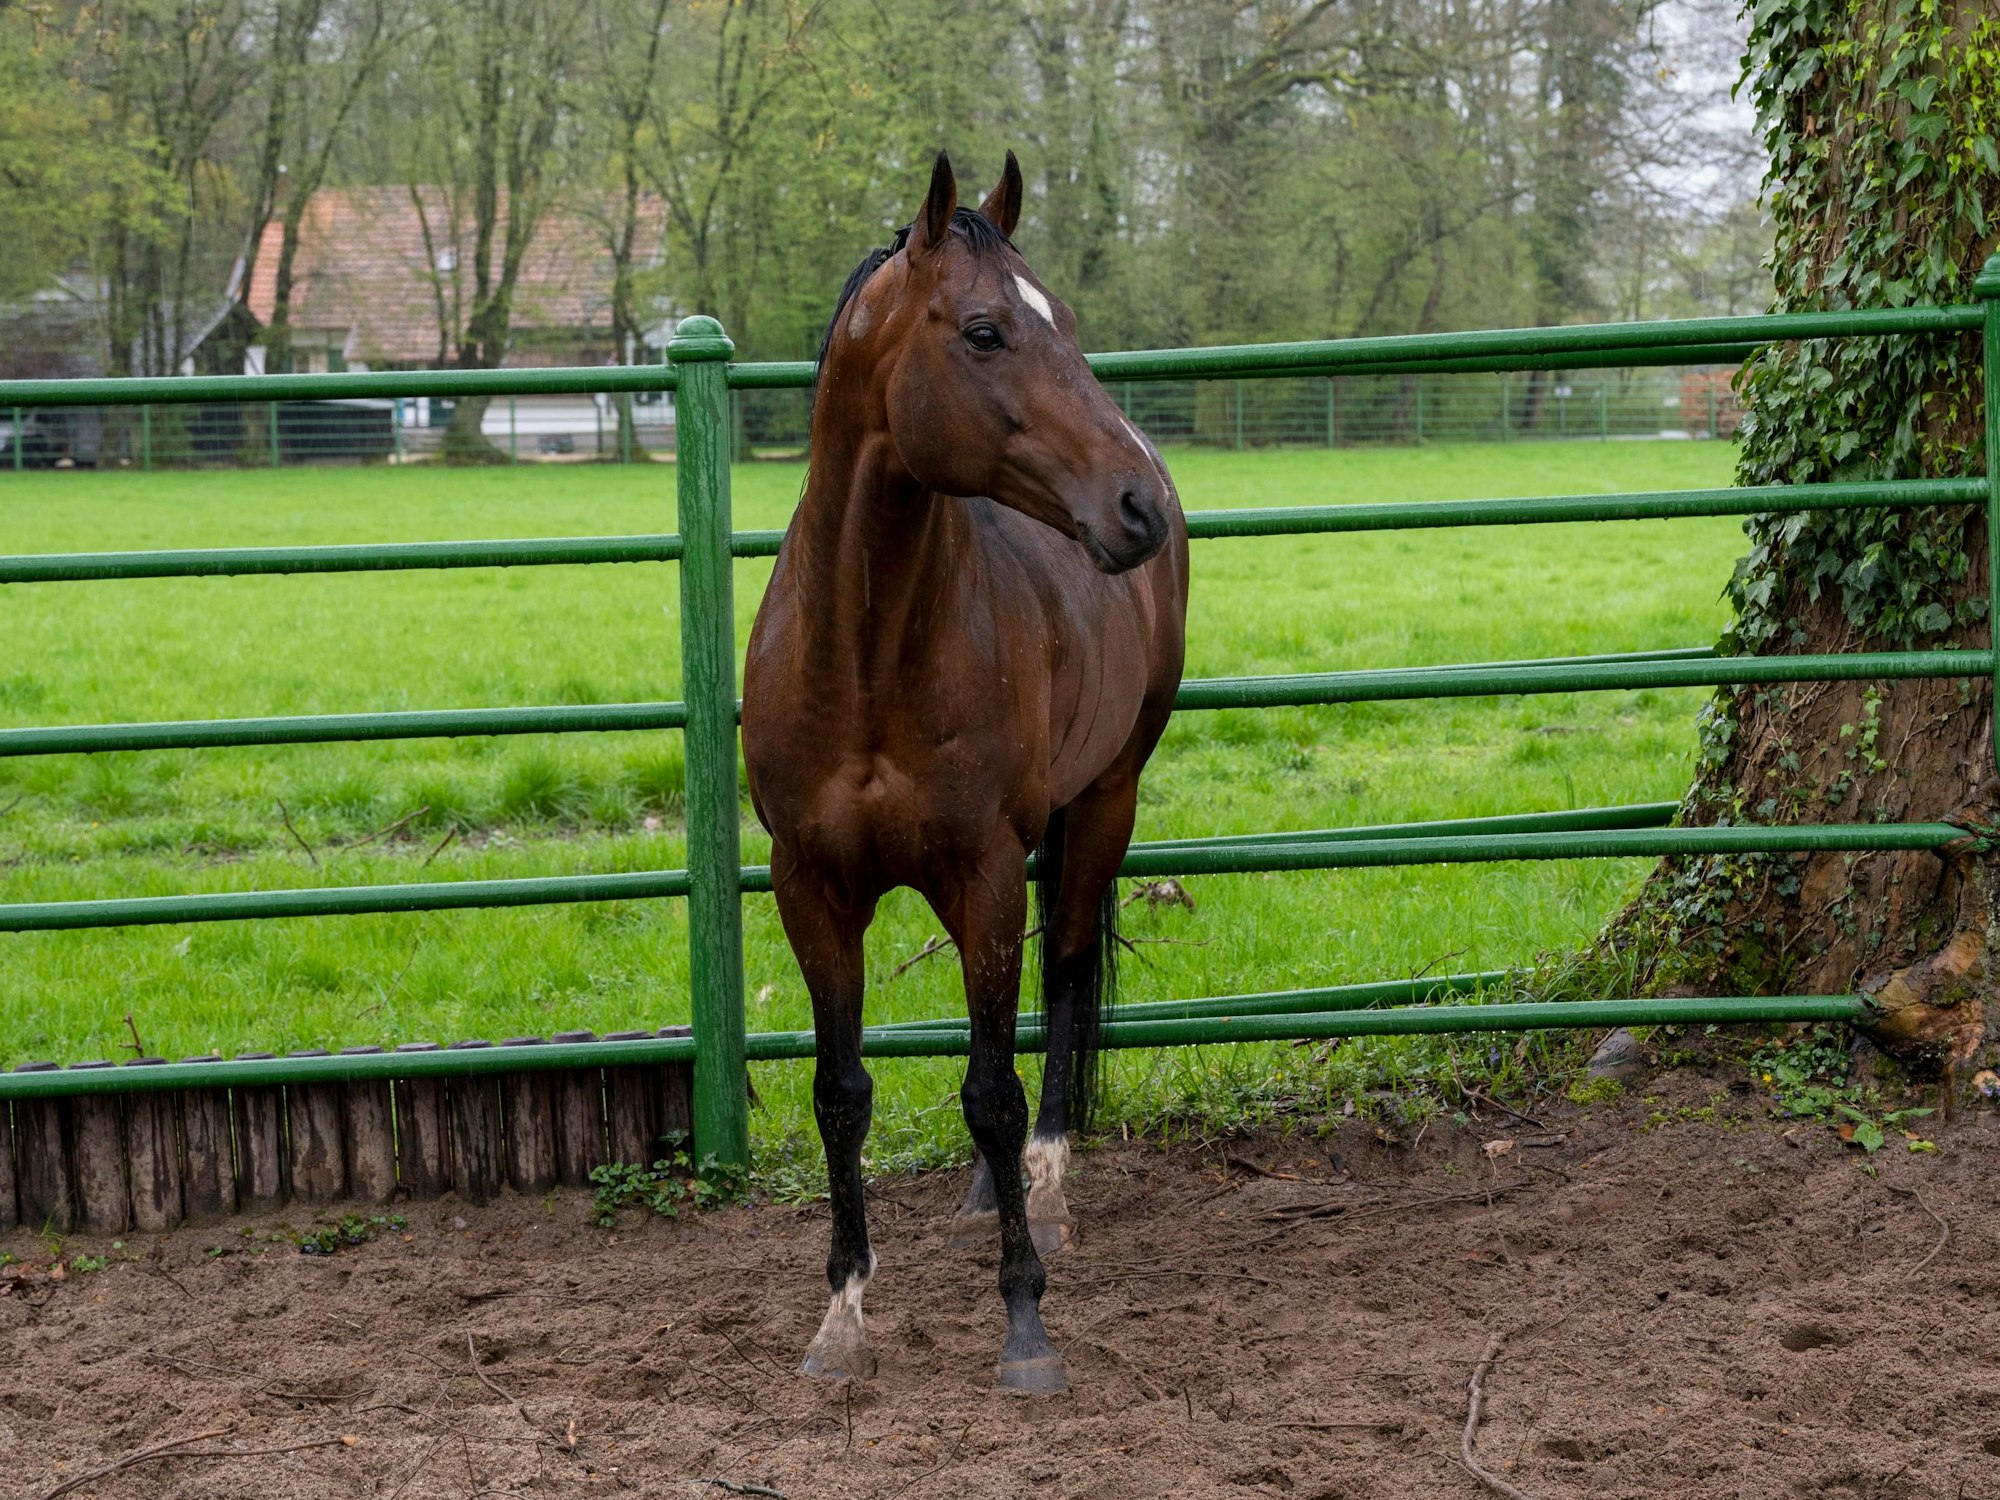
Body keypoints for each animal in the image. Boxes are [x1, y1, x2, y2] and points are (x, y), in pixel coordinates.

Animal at [740, 150, 1189, 1393]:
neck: (864, 654)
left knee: (1066, 974)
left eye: (1065, 323)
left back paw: (1045, 1183)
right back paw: (993, 1193)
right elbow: (840, 1093)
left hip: (1103, 801)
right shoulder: (810, 889)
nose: (1133, 505)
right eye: (984, 332)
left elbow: (990, 1087)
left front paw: (1024, 1320)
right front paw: (842, 1313)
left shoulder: (978, 871)